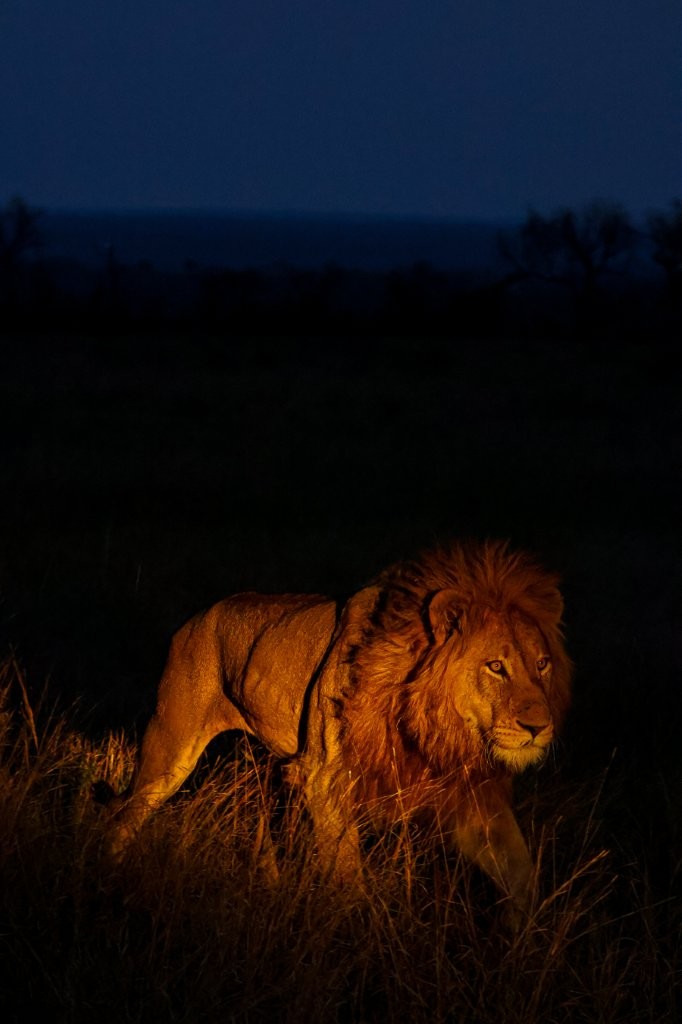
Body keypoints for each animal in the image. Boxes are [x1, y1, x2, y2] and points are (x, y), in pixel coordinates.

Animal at [108, 541, 572, 920]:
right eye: (495, 666)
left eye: (542, 665)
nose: (538, 727)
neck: (431, 722)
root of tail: (200, 615)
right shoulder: (326, 778)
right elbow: (350, 878)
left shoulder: (467, 792)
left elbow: (521, 872)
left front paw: (524, 942)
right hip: (169, 748)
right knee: (125, 813)